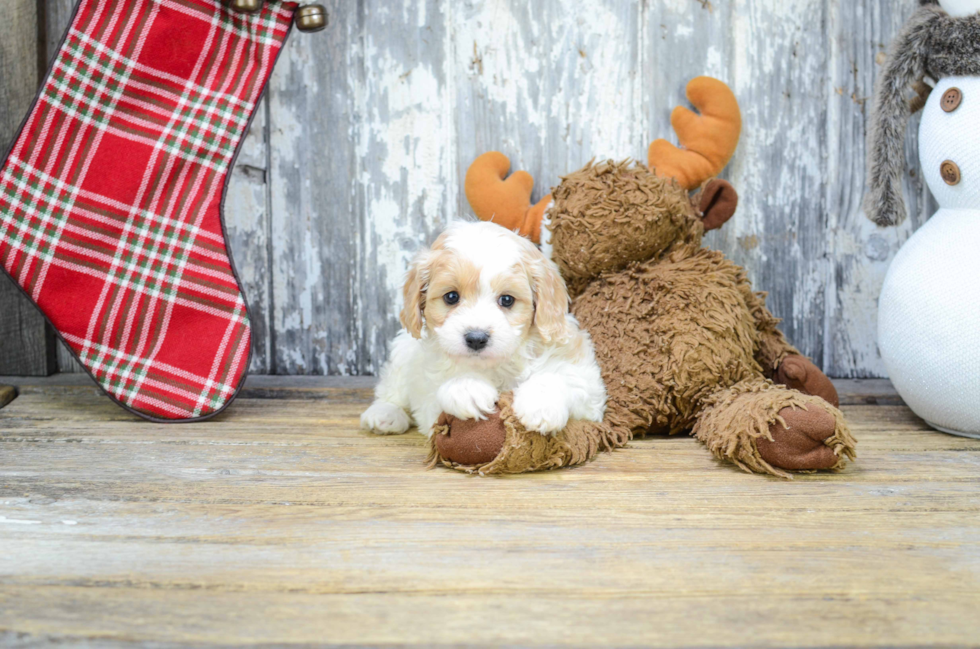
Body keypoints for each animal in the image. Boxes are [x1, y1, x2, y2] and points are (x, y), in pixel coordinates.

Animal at [360, 220, 604, 438]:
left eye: (507, 300)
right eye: (451, 297)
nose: (476, 338)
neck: (497, 366)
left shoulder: (588, 384)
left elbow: (563, 377)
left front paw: (540, 405)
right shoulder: (428, 398)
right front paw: (466, 387)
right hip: (402, 351)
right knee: (391, 390)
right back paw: (385, 414)